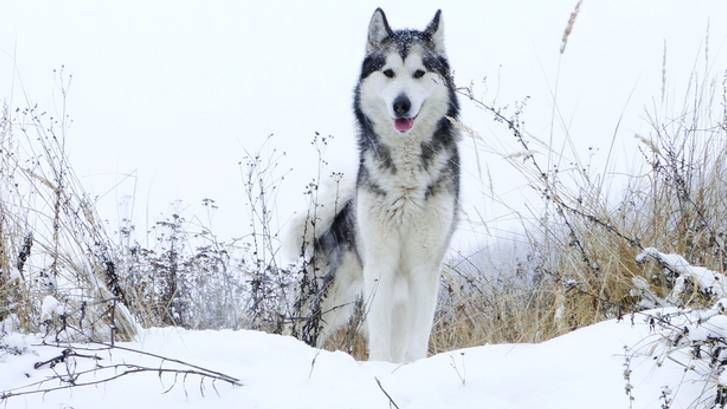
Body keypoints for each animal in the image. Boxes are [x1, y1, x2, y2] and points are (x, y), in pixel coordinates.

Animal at [286, 7, 460, 362]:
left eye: (419, 73)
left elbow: (416, 340)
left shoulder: (424, 267)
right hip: (330, 298)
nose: (401, 104)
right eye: (389, 72)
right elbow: (379, 337)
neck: (406, 178)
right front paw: (380, 368)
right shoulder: (380, 264)